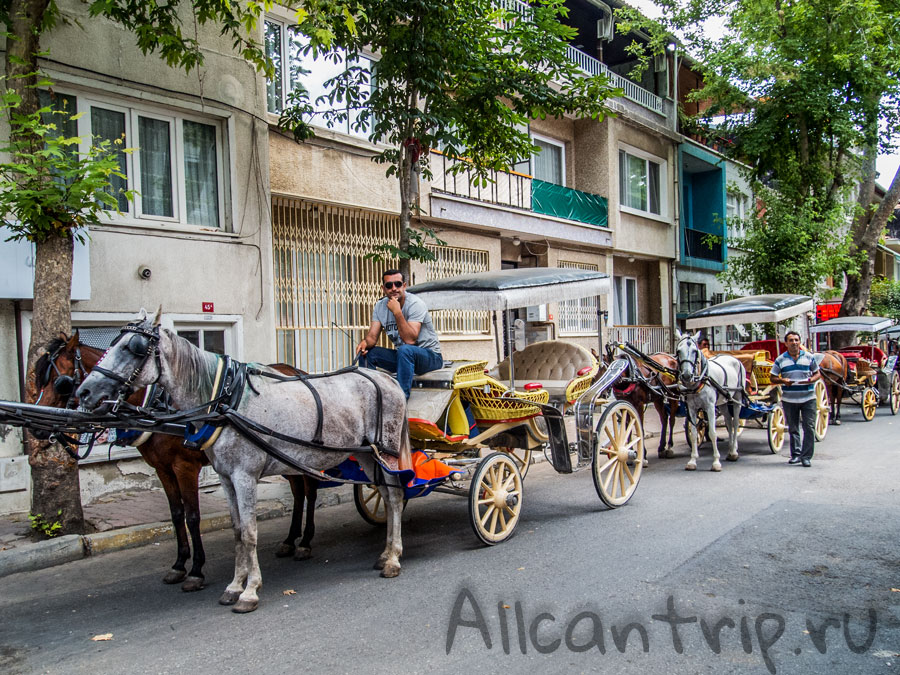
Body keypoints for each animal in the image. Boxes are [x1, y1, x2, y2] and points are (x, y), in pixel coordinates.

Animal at [34, 334, 320, 592]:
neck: (157, 405)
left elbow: (193, 517)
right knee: (299, 493)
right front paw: (179, 564)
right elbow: (176, 514)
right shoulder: (163, 469)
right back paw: (291, 540)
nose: (38, 431)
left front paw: (196, 571)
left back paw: (305, 541)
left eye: (61, 381)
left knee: (309, 492)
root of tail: (297, 370)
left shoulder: (185, 467)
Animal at [77, 308, 408, 616]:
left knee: (394, 496)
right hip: (366, 454)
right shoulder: (224, 477)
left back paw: (393, 557)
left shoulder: (243, 476)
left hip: (386, 451)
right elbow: (237, 531)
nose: (84, 391)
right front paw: (234, 586)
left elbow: (249, 532)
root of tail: (386, 378)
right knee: (383, 494)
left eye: (133, 347)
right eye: (112, 342)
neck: (225, 400)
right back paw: (383, 552)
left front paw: (249, 591)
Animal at [676, 330, 744, 472]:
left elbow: (713, 433)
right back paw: (730, 449)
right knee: (729, 422)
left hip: (737, 398)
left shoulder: (710, 407)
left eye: (695, 351)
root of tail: (733, 358)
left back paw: (734, 451)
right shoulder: (691, 409)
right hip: (723, 403)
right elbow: (694, 433)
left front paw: (716, 462)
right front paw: (692, 460)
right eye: (679, 351)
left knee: (735, 424)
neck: (700, 380)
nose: (686, 375)